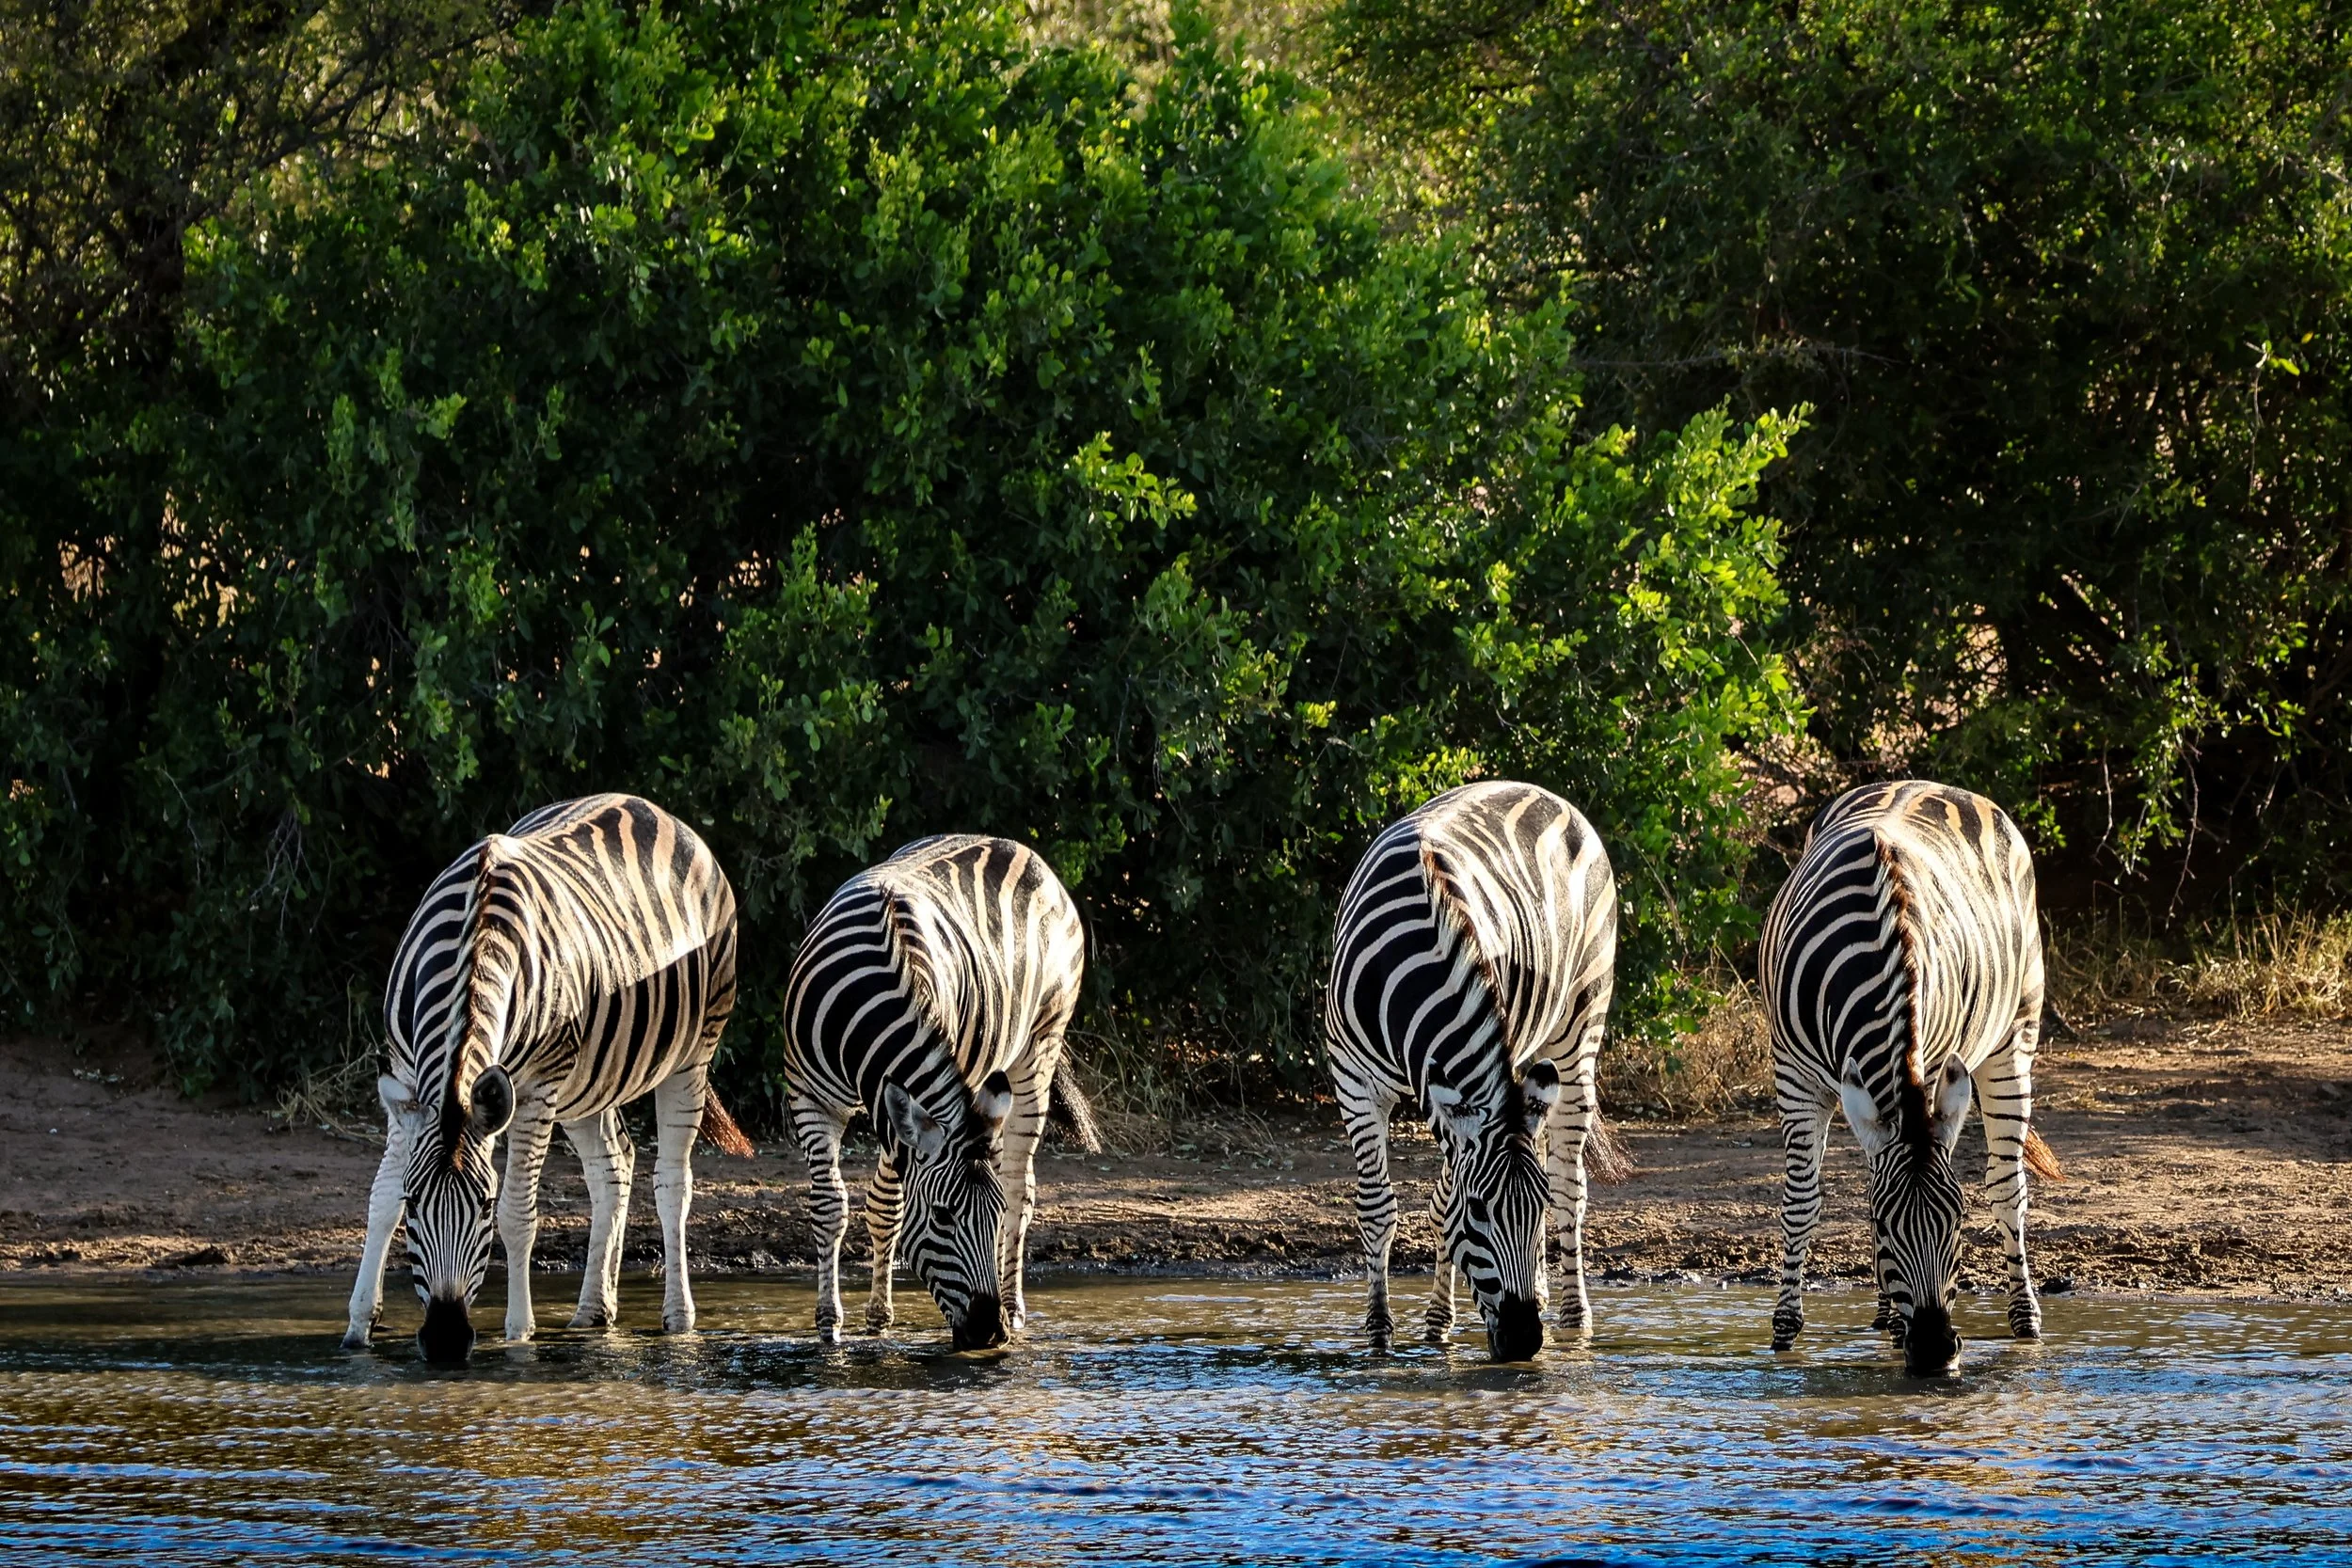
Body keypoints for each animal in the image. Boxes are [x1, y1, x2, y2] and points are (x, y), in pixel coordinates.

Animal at [341, 794, 749, 1363]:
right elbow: (379, 1199)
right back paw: (594, 1313)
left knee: (673, 1182)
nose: (446, 1341)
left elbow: (520, 1214)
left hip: (692, 1051)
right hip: (589, 1079)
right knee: (612, 1165)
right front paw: (359, 1325)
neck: (474, 938)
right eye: (415, 1204)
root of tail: (653, 808)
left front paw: (518, 1335)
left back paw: (679, 1319)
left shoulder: (535, 1090)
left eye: (483, 1206)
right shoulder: (405, 1079)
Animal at [781, 834, 1096, 1352]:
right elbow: (831, 1205)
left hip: (1038, 1048)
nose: (990, 1333)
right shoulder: (809, 1096)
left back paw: (1015, 1304)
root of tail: (1015, 846)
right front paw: (831, 1324)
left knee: (1020, 1184)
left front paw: (877, 1314)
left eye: (993, 1218)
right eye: (943, 1218)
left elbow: (887, 1205)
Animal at [1325, 781, 1624, 1362]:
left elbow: (1447, 1202)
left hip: (1580, 1027)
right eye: (1481, 1212)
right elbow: (1382, 1207)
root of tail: (1544, 792)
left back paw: (1574, 1319)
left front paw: (1436, 1319)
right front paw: (1380, 1334)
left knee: (1569, 1183)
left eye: (1534, 1214)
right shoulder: (1353, 1078)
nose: (1525, 1341)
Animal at [1761, 779, 2064, 1377]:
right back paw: (1886, 1315)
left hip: (2015, 1032)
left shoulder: (1938, 1061)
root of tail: (1924, 782)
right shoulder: (1794, 1074)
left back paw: (2025, 1319)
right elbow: (1802, 1200)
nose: (1933, 1350)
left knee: (2008, 1186)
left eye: (1959, 1220)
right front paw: (1785, 1329)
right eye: (1883, 1226)